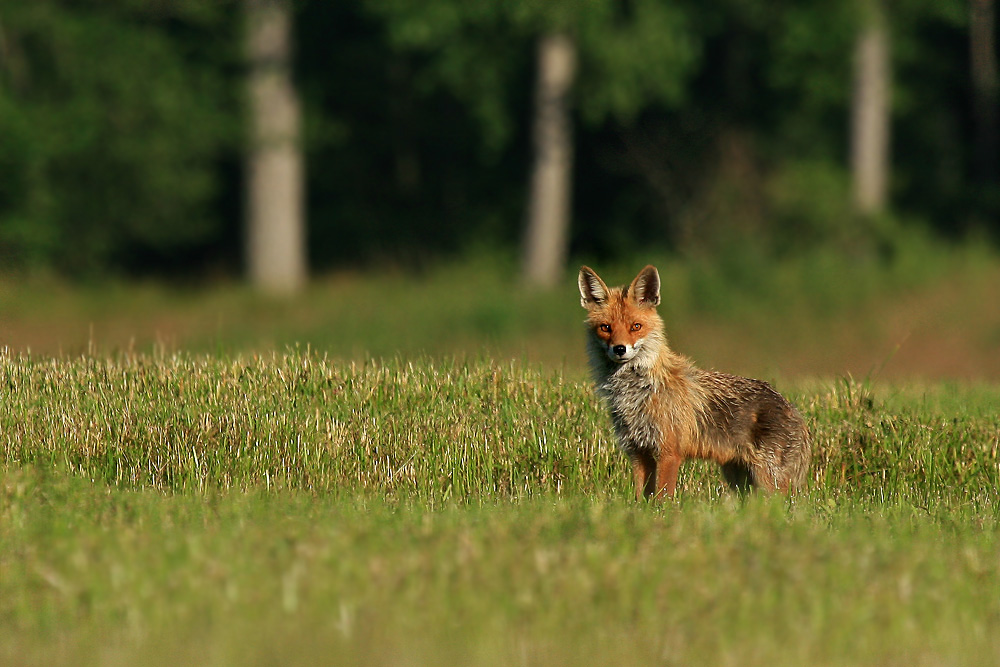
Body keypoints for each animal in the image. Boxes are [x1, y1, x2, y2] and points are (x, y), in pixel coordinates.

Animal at [584, 264, 808, 498]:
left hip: (769, 482)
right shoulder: (638, 452)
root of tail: (792, 407)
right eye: (605, 328)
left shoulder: (669, 452)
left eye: (635, 326)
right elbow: (640, 498)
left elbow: (662, 498)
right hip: (739, 480)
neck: (636, 393)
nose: (619, 349)